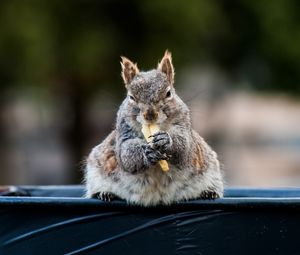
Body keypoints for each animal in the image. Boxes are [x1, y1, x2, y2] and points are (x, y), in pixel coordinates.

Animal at [84, 50, 223, 206]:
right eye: (131, 97)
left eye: (168, 93)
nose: (150, 115)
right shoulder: (124, 133)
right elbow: (126, 154)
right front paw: (146, 153)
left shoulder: (184, 127)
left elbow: (185, 148)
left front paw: (166, 140)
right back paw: (104, 193)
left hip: (212, 169)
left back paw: (209, 192)